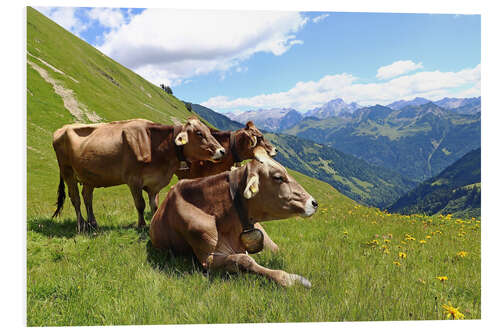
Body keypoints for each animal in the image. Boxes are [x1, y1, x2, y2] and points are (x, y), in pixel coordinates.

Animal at [52, 116, 225, 231]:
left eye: (208, 131)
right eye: (199, 133)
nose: (222, 151)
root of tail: (62, 129)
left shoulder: (154, 183)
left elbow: (154, 205)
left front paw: (154, 221)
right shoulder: (133, 180)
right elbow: (140, 204)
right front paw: (141, 225)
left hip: (89, 177)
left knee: (87, 198)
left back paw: (93, 223)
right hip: (67, 171)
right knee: (75, 199)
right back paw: (81, 225)